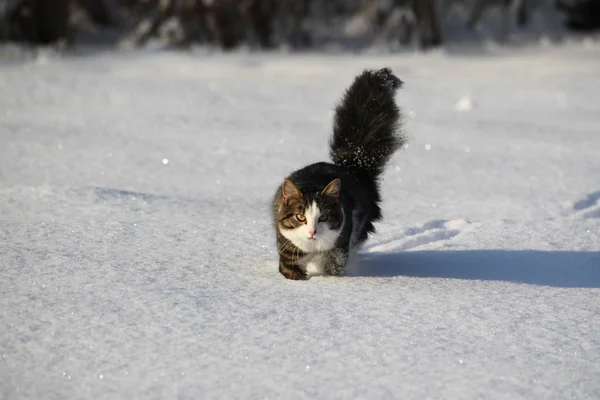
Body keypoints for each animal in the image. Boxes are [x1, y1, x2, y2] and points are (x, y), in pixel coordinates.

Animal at [274, 68, 408, 282]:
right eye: (300, 217)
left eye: (324, 217)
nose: (312, 232)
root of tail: (353, 165)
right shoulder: (288, 247)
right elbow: (290, 270)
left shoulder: (341, 240)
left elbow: (335, 266)